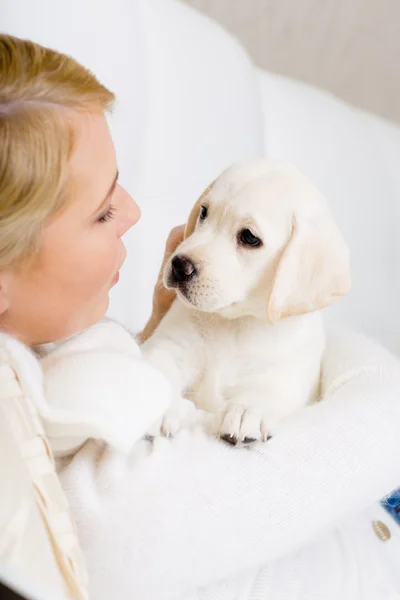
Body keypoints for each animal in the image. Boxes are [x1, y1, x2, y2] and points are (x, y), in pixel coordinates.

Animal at [141, 159, 350, 446]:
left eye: (250, 237)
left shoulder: (290, 375)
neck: (235, 324)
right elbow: (159, 365)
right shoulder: (170, 345)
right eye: (204, 212)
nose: (179, 265)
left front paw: (248, 409)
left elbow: (272, 390)